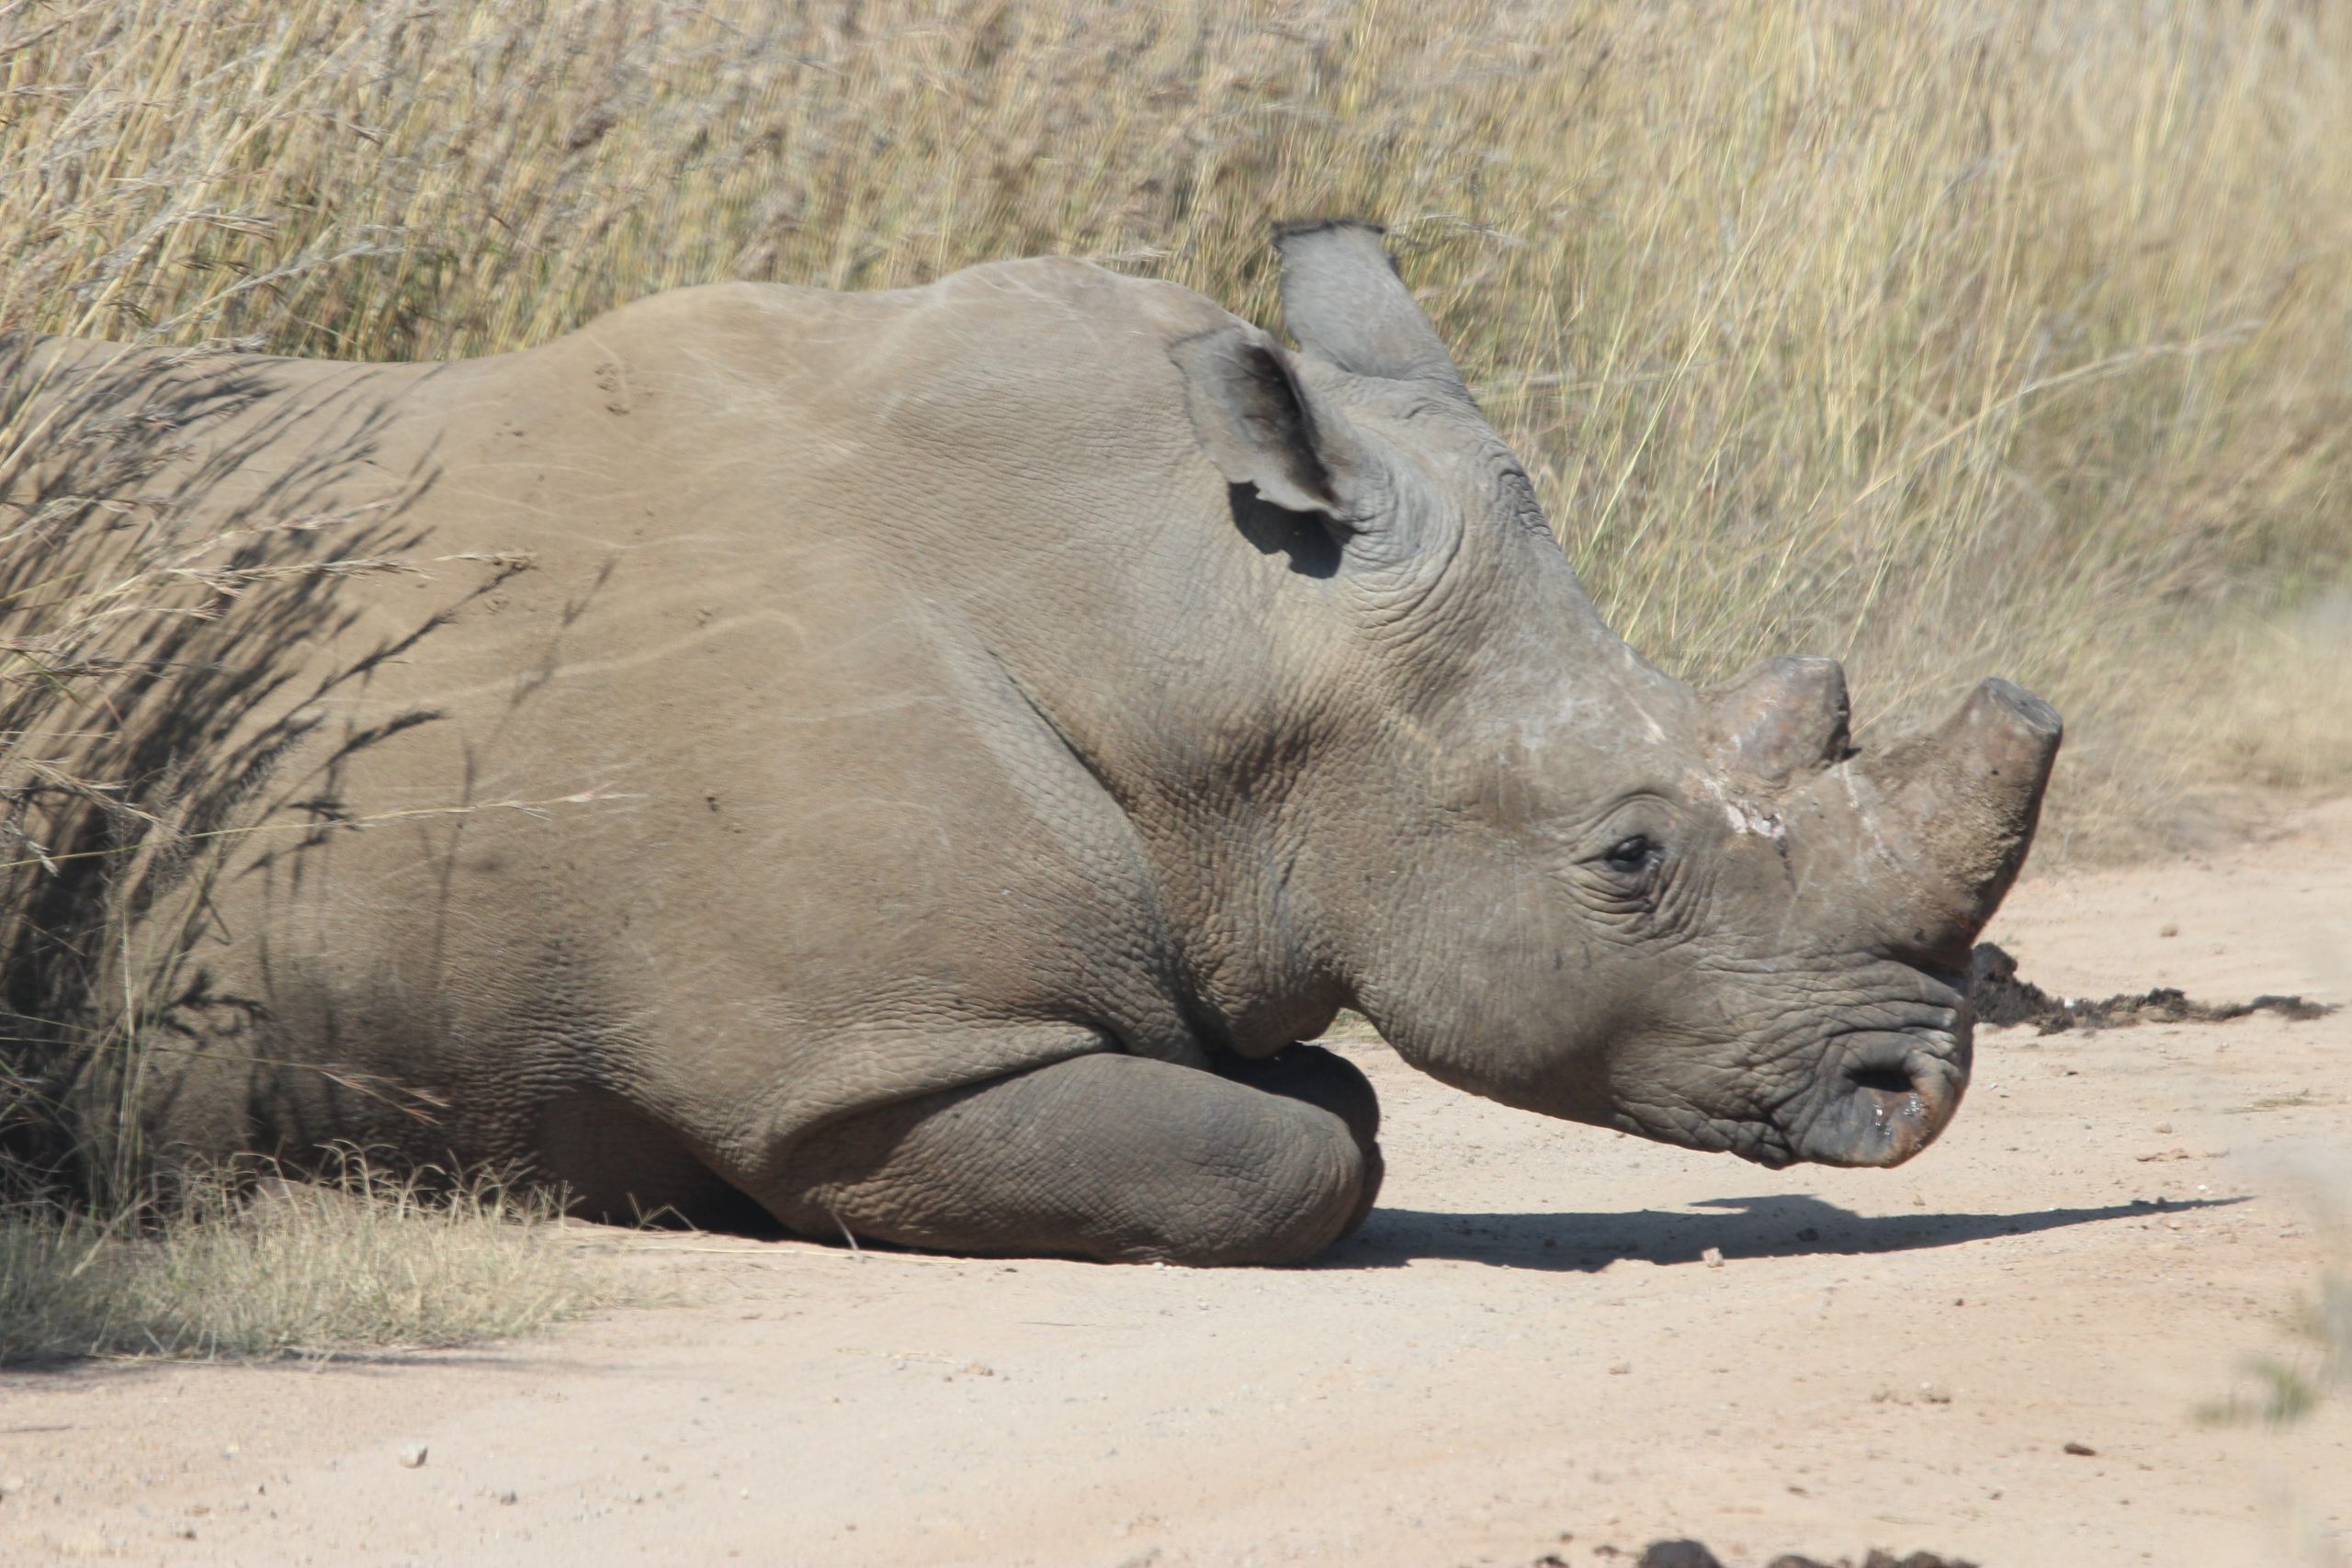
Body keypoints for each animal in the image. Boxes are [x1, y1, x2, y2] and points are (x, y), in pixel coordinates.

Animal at [0, 221, 2058, 1263]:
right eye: (1629, 858)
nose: (1915, 1084)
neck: (1198, 624)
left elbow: (1336, 1102)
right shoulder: (871, 1054)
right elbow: (1296, 1157)